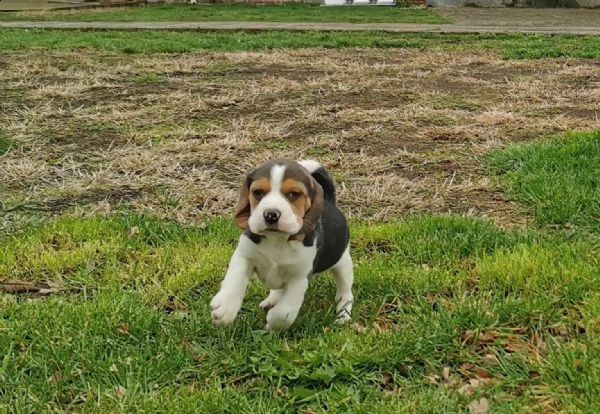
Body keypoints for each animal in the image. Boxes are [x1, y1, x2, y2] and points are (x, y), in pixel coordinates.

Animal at [210, 158, 354, 330]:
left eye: (293, 194)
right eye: (258, 192)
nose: (271, 215)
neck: (276, 239)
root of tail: (329, 201)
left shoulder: (299, 277)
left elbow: (284, 313)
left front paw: (272, 323)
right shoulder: (244, 256)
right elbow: (235, 281)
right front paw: (225, 308)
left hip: (343, 264)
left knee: (346, 294)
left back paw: (343, 315)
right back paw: (271, 300)